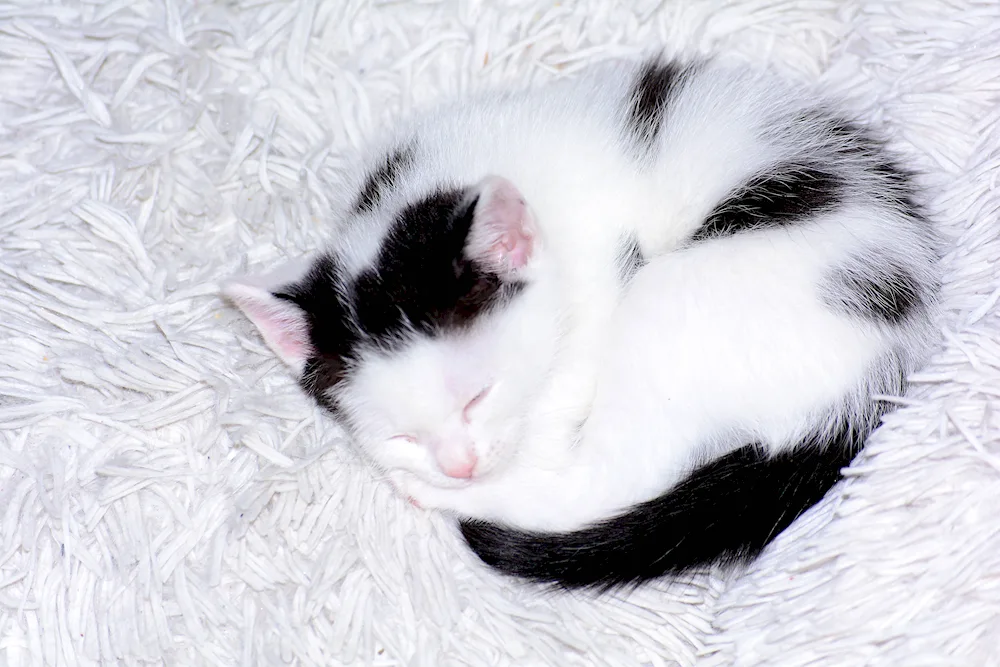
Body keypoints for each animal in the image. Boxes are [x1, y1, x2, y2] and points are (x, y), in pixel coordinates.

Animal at [225, 56, 936, 588]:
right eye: (401, 435)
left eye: (479, 396)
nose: (459, 467)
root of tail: (877, 375)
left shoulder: (599, 279)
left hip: (677, 304)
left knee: (603, 478)